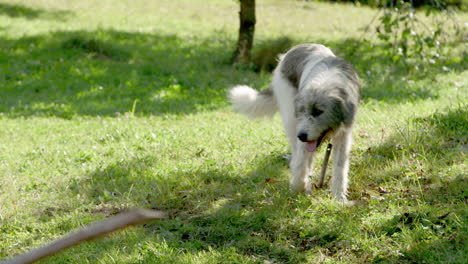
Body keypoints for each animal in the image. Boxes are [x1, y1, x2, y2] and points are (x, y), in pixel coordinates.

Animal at [230, 43, 362, 202]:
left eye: (318, 112)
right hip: (290, 120)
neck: (327, 81)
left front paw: (339, 198)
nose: (302, 136)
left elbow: (340, 169)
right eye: (303, 111)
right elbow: (300, 164)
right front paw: (299, 187)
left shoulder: (343, 136)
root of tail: (297, 47)